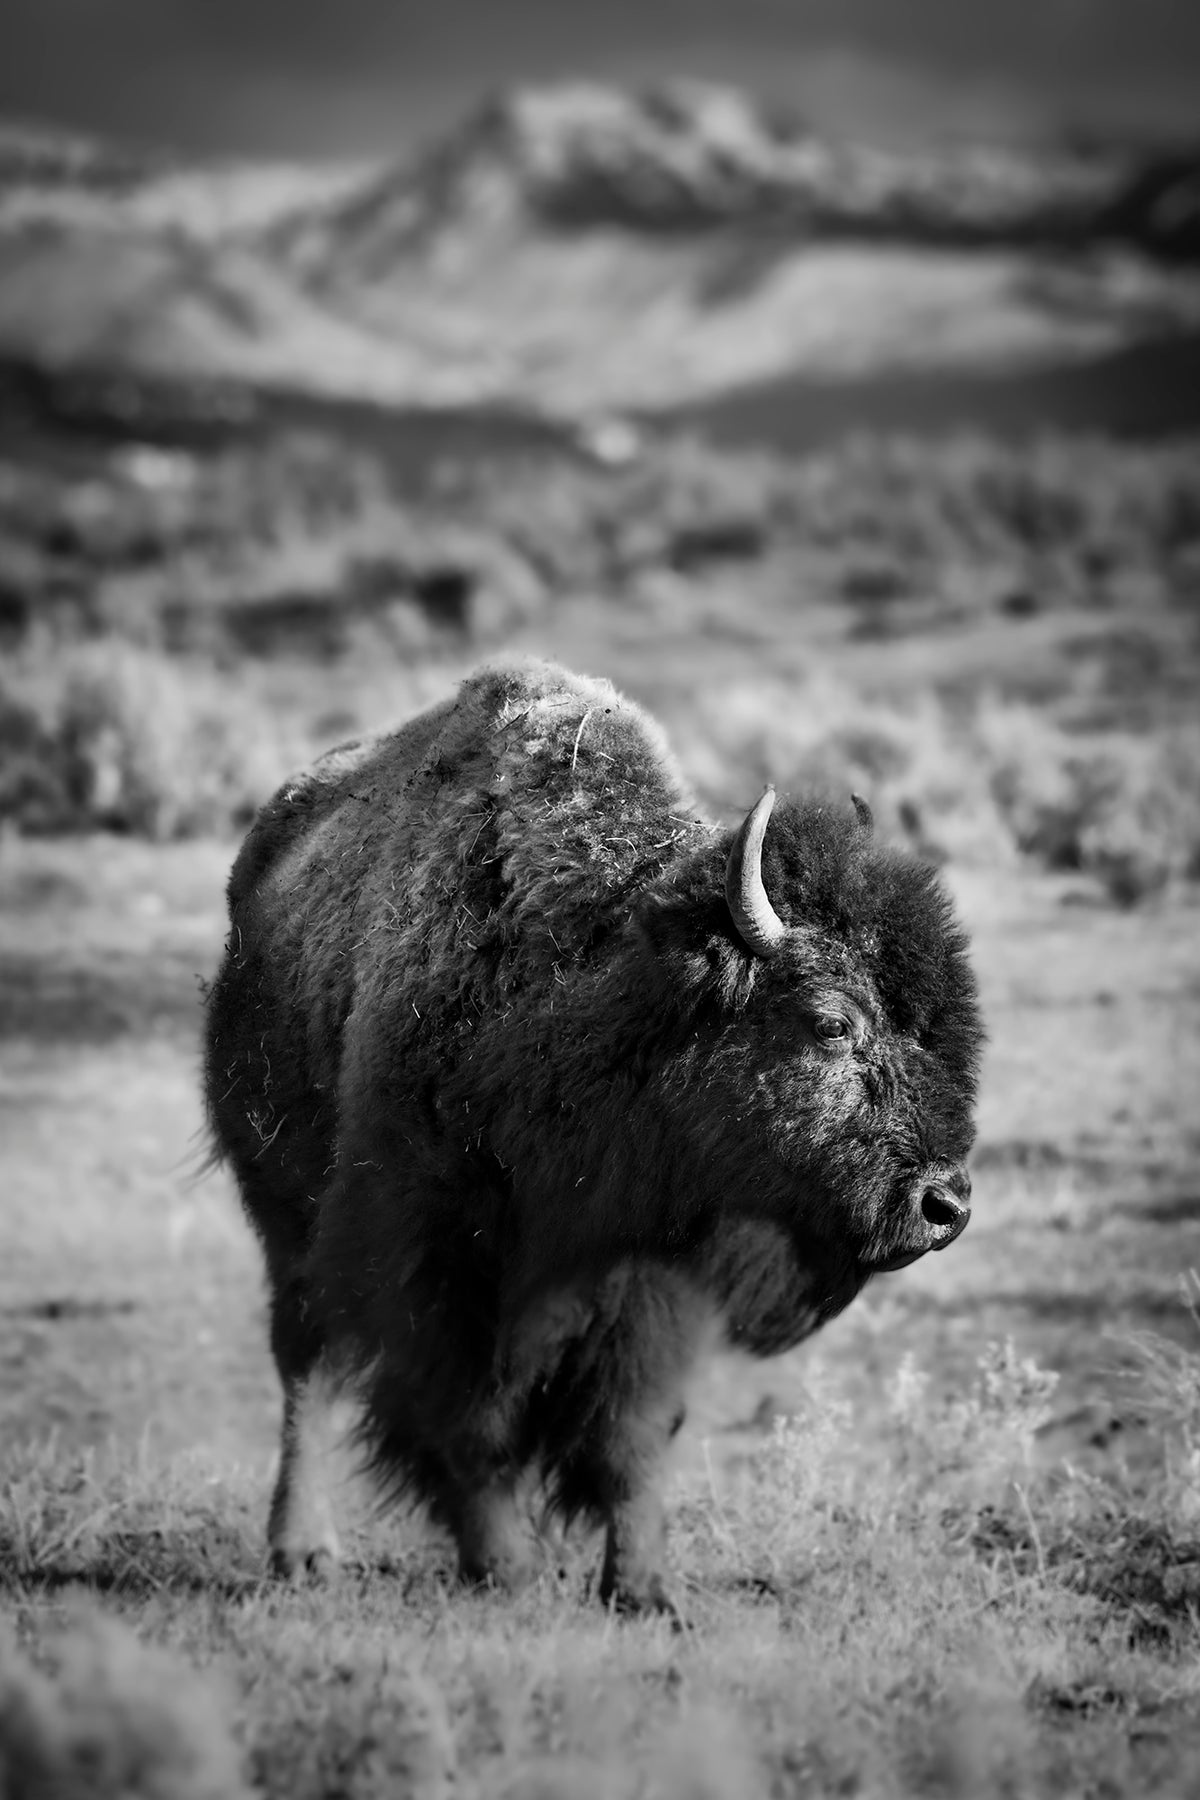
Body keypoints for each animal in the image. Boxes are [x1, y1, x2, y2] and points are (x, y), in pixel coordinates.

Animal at [205, 661, 981, 1615]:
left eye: (933, 1032)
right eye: (832, 1022)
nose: (944, 1204)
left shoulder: (657, 1275)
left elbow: (634, 1433)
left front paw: (645, 1590)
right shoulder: (439, 1258)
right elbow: (471, 1418)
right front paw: (505, 1571)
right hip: (285, 1208)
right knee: (304, 1359)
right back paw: (303, 1550)